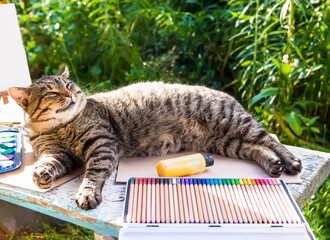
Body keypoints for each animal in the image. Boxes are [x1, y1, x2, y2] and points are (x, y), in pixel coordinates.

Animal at [7, 67, 302, 210]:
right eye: (51, 92)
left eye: (69, 86)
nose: (70, 94)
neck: (62, 128)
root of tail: (226, 94)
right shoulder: (57, 152)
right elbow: (51, 162)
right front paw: (42, 172)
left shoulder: (102, 144)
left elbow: (93, 173)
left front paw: (87, 193)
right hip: (225, 143)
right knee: (256, 148)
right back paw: (273, 164)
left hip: (234, 123)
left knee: (271, 140)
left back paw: (291, 162)